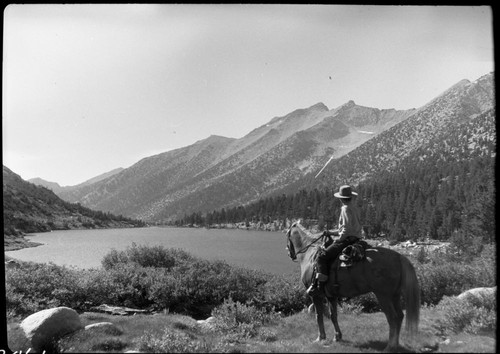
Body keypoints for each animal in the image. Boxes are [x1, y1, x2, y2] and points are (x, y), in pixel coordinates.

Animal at [286, 223, 418, 352]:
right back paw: (396, 345)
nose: (290, 254)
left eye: (287, 237)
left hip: (383, 296)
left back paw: (390, 346)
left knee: (393, 318)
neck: (309, 255)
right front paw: (337, 337)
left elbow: (318, 316)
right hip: (395, 295)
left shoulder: (315, 295)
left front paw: (320, 338)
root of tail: (399, 257)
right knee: (400, 316)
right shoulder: (331, 296)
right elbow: (333, 316)